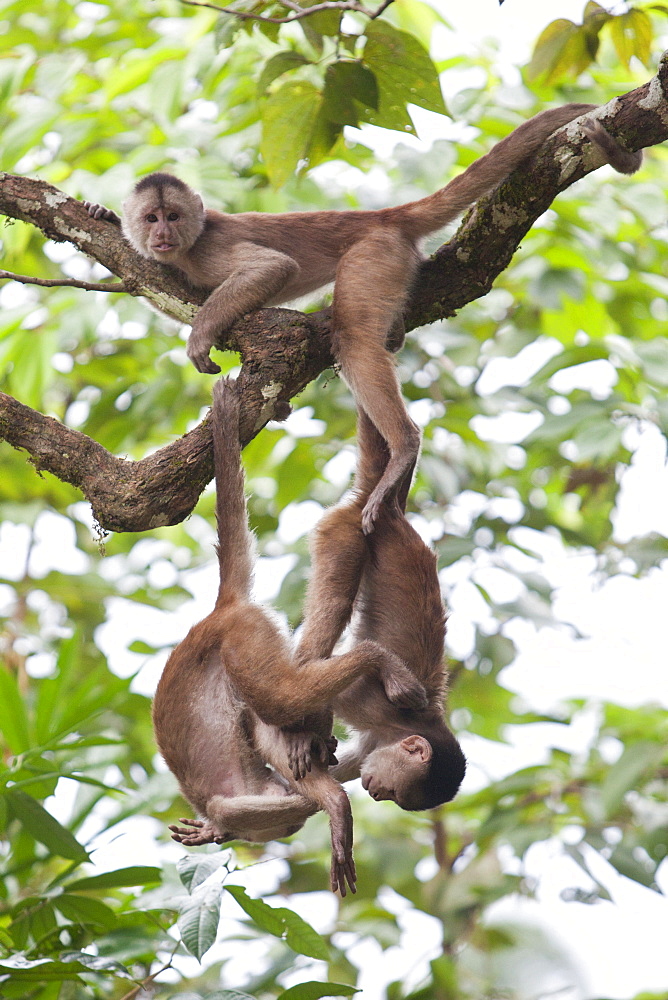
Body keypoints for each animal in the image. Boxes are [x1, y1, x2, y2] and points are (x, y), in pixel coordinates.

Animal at [86, 107, 640, 532]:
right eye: (151, 218)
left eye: (173, 217)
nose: (161, 234)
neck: (186, 247)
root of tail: (382, 217)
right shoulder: (174, 262)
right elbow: (153, 281)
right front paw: (103, 215)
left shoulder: (205, 250)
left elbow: (272, 269)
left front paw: (201, 336)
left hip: (376, 254)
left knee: (353, 340)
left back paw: (404, 448)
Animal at [151, 378, 426, 896]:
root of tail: (220, 611)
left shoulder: (247, 799)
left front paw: (335, 801)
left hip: (243, 637)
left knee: (275, 700)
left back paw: (373, 662)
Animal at [294, 408, 468, 812]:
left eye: (395, 797)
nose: (376, 793)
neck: (413, 727)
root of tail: (388, 512)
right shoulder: (374, 707)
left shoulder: (376, 741)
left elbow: (351, 763)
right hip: (345, 530)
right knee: (332, 615)